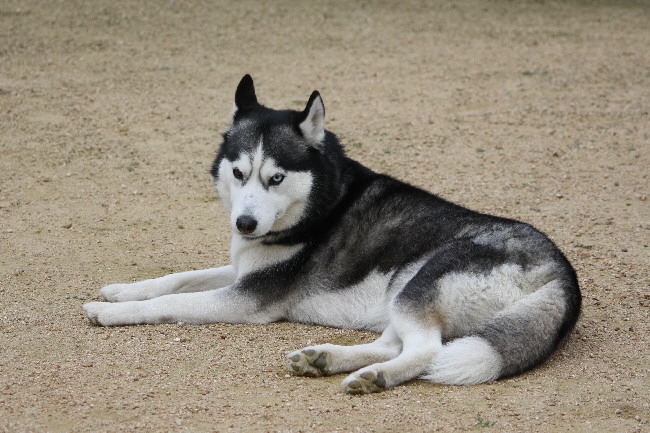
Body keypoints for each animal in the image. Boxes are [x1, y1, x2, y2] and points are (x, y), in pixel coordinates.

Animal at [83, 75, 581, 394]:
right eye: (239, 173)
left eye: (276, 178)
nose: (245, 225)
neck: (321, 203)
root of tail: (561, 273)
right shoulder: (241, 270)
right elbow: (177, 278)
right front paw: (120, 290)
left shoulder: (247, 298)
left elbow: (169, 303)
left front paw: (109, 312)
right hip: (400, 294)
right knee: (392, 344)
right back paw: (327, 359)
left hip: (416, 283)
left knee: (426, 351)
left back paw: (374, 378)